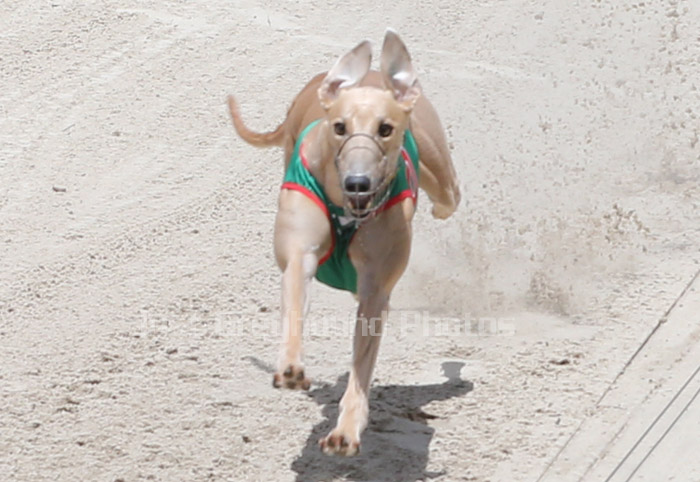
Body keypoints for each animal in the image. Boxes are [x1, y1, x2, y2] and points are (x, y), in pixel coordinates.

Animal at [227, 30, 461, 456]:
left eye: (385, 129)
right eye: (339, 127)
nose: (358, 183)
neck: (349, 211)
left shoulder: (374, 292)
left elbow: (361, 366)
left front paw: (346, 430)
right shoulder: (298, 257)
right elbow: (294, 310)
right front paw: (290, 368)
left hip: (443, 179)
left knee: (448, 200)